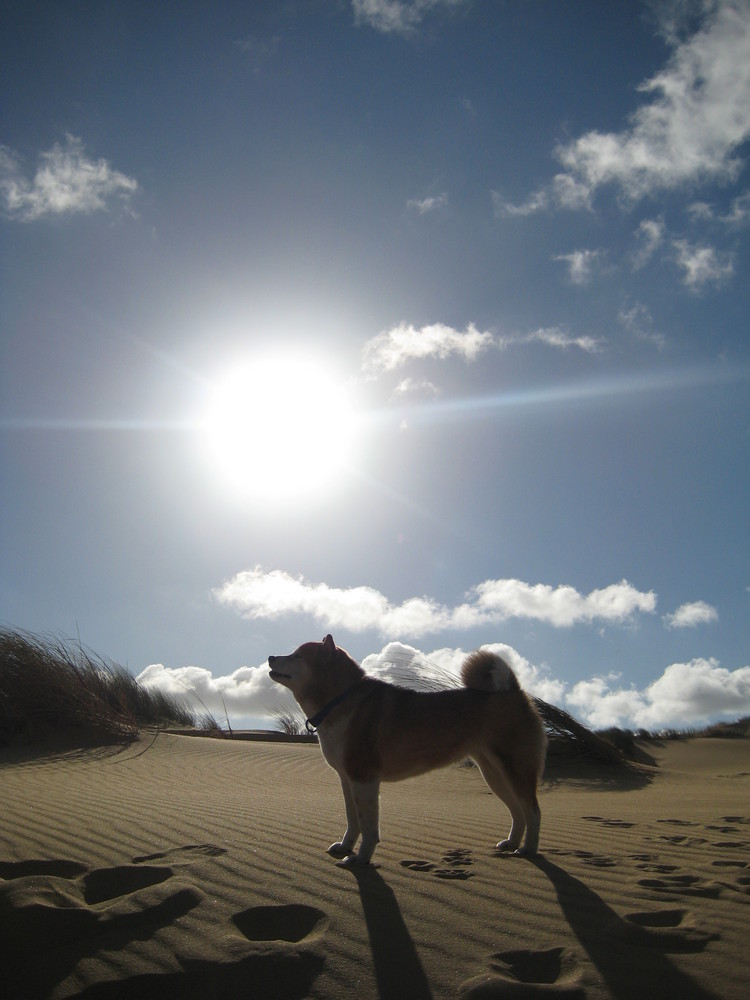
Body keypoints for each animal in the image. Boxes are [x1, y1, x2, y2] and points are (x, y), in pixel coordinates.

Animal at [270, 636, 548, 864]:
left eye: (298, 655)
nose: (271, 657)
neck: (340, 700)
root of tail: (513, 690)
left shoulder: (364, 779)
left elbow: (368, 828)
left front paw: (361, 859)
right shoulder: (347, 780)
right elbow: (353, 821)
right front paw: (345, 847)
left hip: (515, 769)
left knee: (533, 811)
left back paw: (528, 850)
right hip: (494, 774)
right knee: (518, 811)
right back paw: (512, 843)